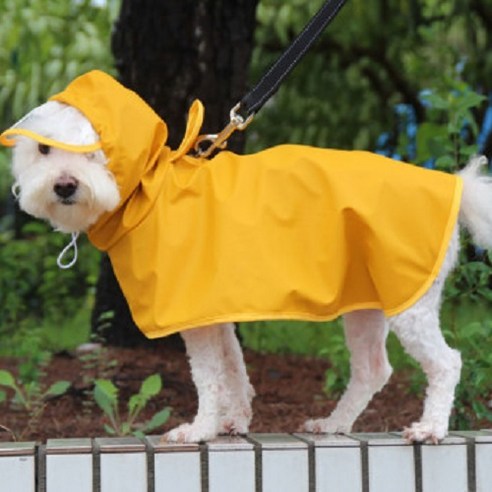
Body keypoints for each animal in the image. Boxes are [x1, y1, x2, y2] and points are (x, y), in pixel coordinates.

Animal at [2, 71, 492, 444]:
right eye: (43, 148)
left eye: (96, 150)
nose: (65, 185)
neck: (150, 192)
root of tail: (455, 186)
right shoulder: (214, 312)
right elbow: (234, 369)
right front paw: (233, 421)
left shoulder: (193, 315)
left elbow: (208, 375)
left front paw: (199, 429)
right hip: (365, 302)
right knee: (373, 369)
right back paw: (335, 423)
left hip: (409, 301)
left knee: (447, 363)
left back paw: (430, 428)